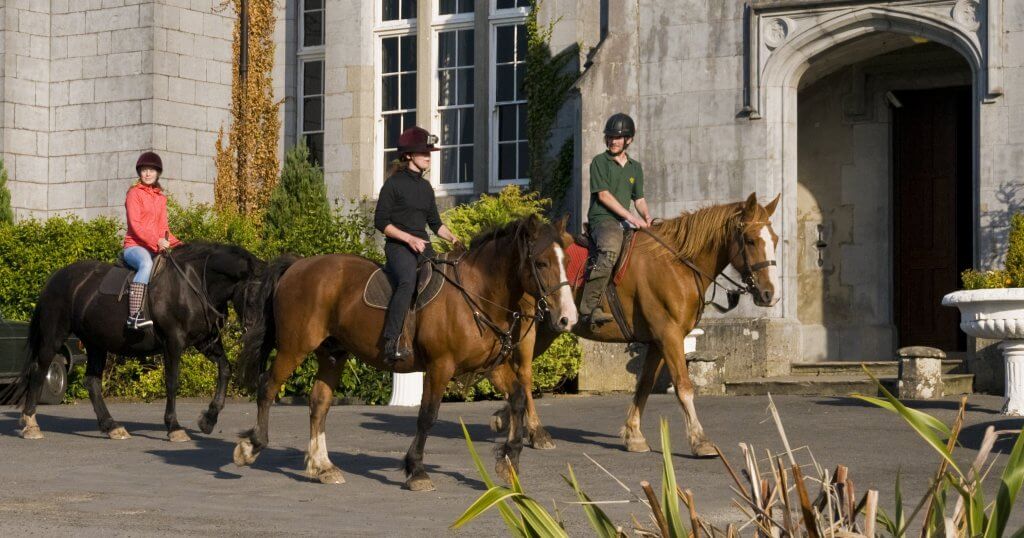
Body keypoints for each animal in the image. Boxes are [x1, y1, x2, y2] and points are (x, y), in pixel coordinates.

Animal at [14, 241, 264, 440]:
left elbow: (225, 369)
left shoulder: (205, 342)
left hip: (96, 344)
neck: (194, 284)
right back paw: (31, 424)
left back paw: (111, 426)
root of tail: (56, 277)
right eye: (253, 296)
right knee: (39, 370)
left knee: (92, 382)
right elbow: (172, 382)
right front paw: (174, 427)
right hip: (54, 336)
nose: (257, 332)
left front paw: (208, 420)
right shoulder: (173, 343)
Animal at [233, 215, 581, 489]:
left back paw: (323, 466)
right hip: (294, 347)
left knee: (319, 402)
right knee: (267, 387)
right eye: (541, 263)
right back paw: (252, 447)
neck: (477, 294)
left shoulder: (491, 367)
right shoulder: (440, 366)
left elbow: (519, 399)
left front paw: (509, 461)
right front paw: (416, 470)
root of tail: (299, 265)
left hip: (332, 354)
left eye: (566, 261)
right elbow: (427, 416)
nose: (568, 318)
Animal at [491, 190, 778, 454]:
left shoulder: (657, 341)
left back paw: (506, 418)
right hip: (530, 328)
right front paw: (700, 440)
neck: (677, 264)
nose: (769, 294)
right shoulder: (670, 336)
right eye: (750, 240)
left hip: (547, 330)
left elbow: (645, 385)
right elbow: (684, 386)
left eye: (774, 239)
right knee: (524, 374)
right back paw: (537, 432)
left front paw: (634, 435)